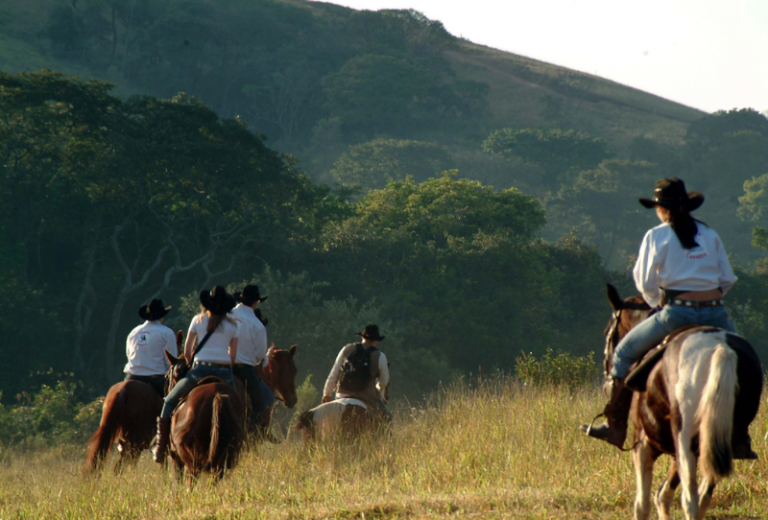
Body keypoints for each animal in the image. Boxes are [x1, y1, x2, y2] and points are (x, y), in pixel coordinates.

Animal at [608, 284, 760, 520]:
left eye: (609, 334)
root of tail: (721, 349)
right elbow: (662, 495)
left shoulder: (643, 444)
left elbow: (642, 503)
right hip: (716, 439)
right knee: (703, 497)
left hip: (685, 438)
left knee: (690, 499)